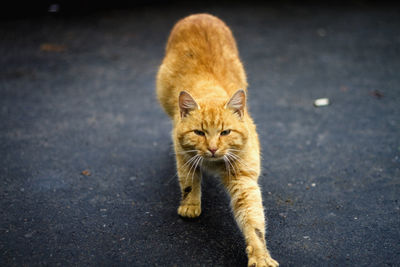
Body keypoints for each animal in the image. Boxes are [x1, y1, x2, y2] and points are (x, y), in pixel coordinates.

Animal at [155, 14, 278, 267]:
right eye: (199, 133)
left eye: (225, 132)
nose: (212, 148)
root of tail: (199, 15)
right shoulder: (184, 156)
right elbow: (189, 182)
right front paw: (190, 205)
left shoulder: (243, 179)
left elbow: (254, 222)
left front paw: (260, 255)